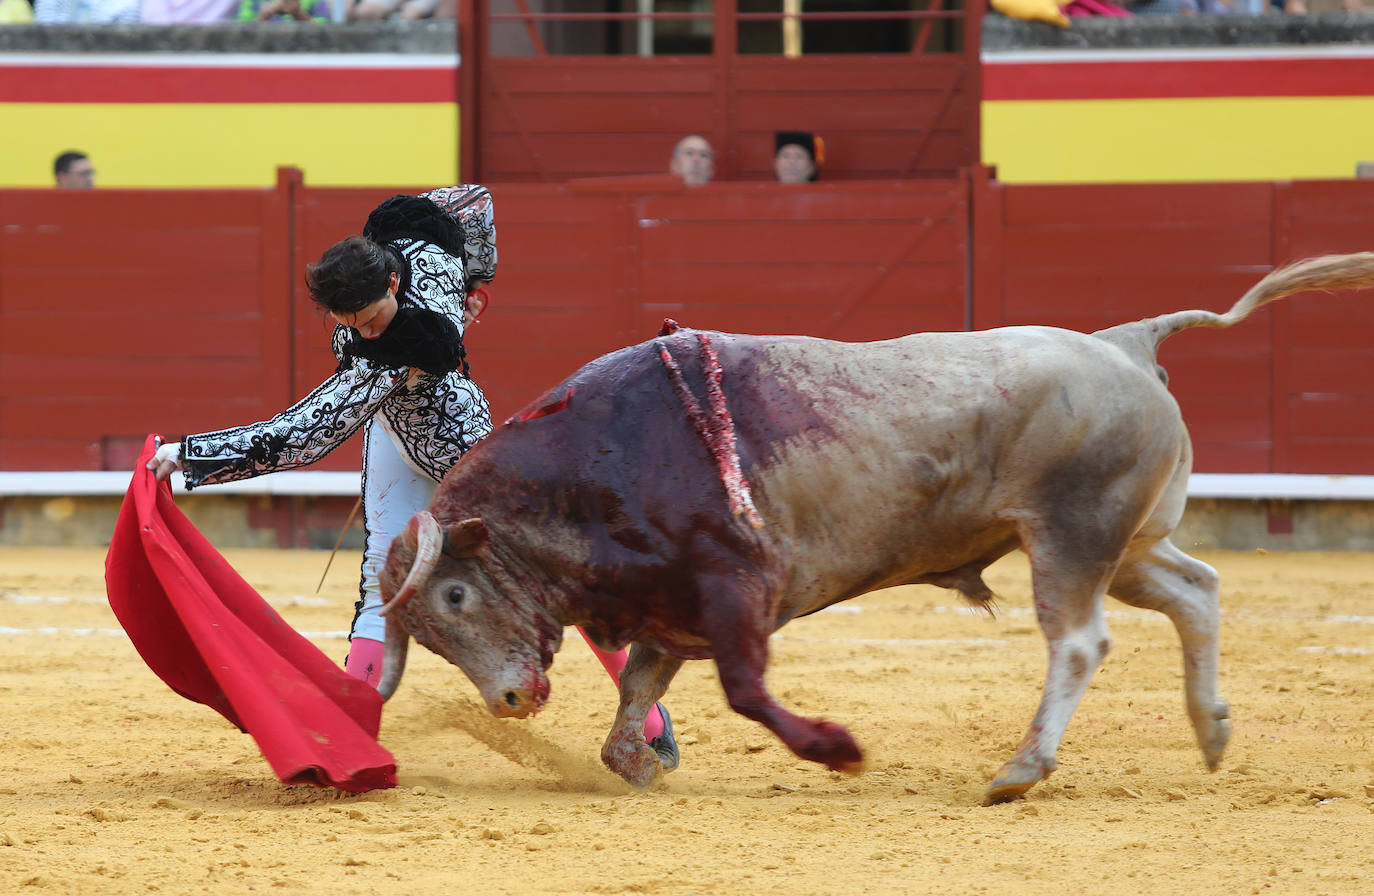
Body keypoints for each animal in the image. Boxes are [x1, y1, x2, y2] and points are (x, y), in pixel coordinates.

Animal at [370, 254, 1374, 802]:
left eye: (453, 595)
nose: (508, 701)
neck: (598, 464)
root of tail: (1124, 340)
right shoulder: (668, 608)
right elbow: (634, 706)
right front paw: (639, 766)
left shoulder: (736, 588)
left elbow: (743, 689)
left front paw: (838, 752)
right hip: (1125, 541)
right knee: (1196, 589)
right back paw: (1211, 732)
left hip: (1072, 535)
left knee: (1082, 640)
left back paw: (1020, 769)